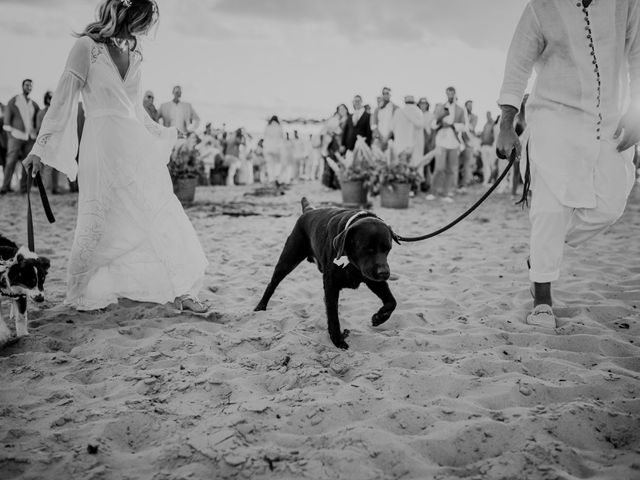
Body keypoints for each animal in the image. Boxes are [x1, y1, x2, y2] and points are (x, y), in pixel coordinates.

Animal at [254, 199, 396, 348]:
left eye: (387, 249)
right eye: (367, 248)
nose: (384, 273)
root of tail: (309, 211)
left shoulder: (373, 280)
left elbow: (392, 302)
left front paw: (380, 317)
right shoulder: (331, 285)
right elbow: (333, 316)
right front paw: (337, 339)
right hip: (287, 260)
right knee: (272, 284)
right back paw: (261, 306)